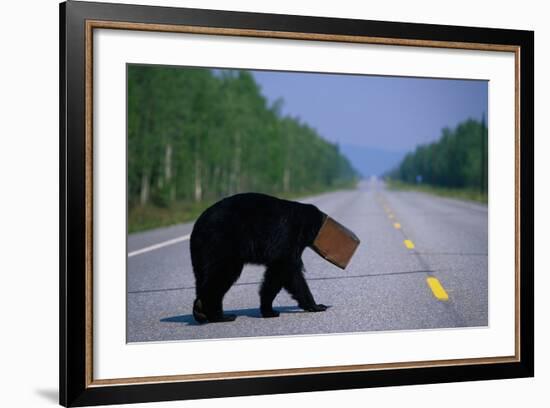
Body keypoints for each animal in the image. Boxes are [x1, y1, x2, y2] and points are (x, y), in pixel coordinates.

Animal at [191, 193, 328, 324]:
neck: (301, 221)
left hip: (201, 254)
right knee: (222, 274)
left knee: (203, 278)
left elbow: (283, 276)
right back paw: (220, 316)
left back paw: (200, 310)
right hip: (221, 242)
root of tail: (197, 225)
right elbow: (285, 268)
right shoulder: (287, 236)